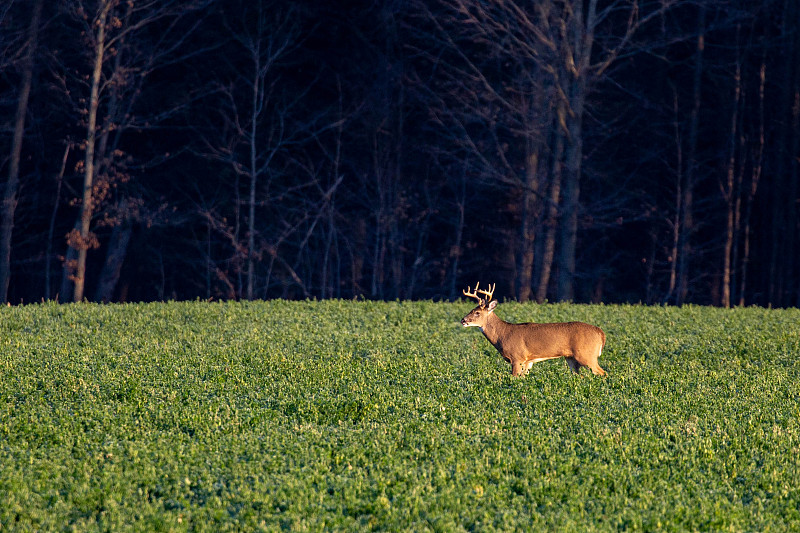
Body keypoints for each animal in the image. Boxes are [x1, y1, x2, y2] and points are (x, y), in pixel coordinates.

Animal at [462, 280, 608, 376]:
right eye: (472, 309)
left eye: (477, 312)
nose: (463, 320)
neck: (502, 335)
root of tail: (600, 333)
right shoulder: (528, 361)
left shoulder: (517, 357)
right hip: (571, 358)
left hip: (587, 355)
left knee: (603, 373)